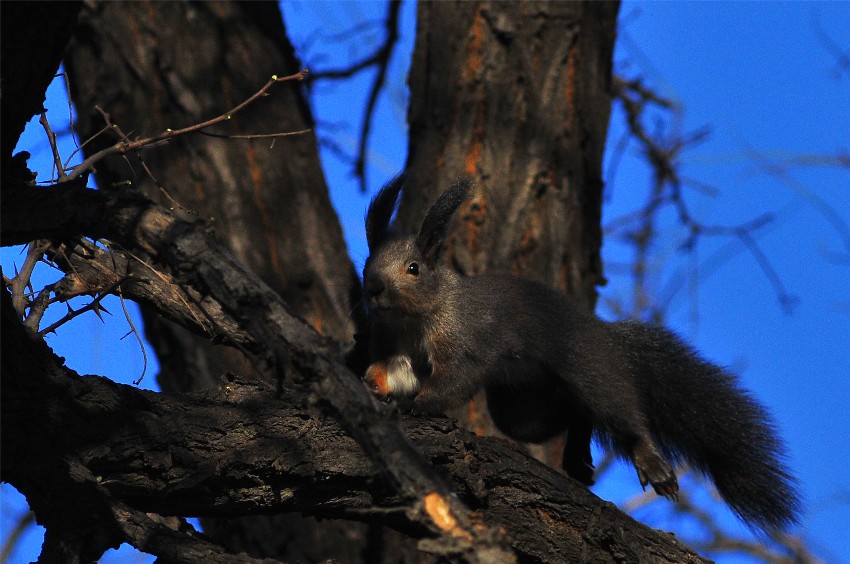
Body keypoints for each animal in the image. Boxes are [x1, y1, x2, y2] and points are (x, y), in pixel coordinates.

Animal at [362, 175, 800, 532]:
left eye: (414, 268)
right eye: (368, 262)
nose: (373, 289)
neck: (413, 319)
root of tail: (606, 335)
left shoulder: (465, 339)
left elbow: (454, 379)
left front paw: (420, 403)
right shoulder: (398, 346)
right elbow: (398, 371)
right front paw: (373, 383)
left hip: (589, 367)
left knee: (618, 411)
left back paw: (651, 462)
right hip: (523, 408)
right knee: (573, 412)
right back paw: (577, 458)